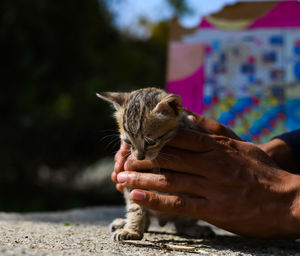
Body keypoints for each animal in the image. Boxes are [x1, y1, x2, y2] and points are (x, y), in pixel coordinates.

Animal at [97, 87, 214, 240]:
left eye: (151, 142)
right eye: (127, 142)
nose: (139, 157)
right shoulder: (131, 179)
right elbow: (136, 207)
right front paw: (132, 230)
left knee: (181, 223)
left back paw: (194, 228)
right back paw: (124, 223)